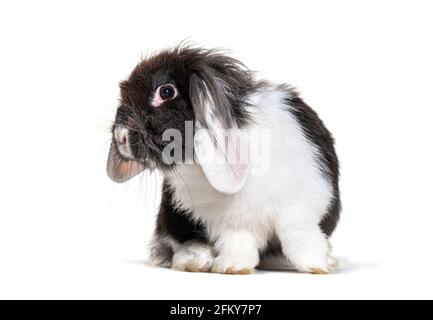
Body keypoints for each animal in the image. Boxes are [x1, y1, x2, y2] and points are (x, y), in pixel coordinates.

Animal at [106, 45, 340, 276]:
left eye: (166, 92)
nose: (121, 136)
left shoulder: (301, 206)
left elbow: (298, 237)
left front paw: (317, 266)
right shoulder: (233, 222)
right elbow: (239, 242)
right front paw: (233, 267)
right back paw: (194, 260)